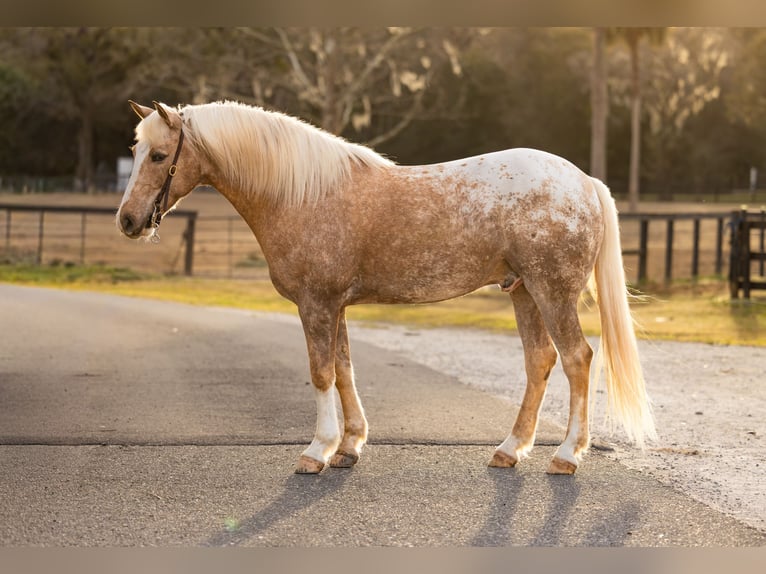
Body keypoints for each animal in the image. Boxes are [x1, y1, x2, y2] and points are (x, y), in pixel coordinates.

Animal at [116, 99, 656, 475]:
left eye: (160, 155)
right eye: (135, 152)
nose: (127, 221)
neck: (302, 194)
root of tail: (584, 182)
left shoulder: (316, 304)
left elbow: (320, 374)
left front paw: (317, 450)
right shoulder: (335, 306)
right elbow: (344, 370)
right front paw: (349, 446)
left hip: (552, 291)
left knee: (577, 359)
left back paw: (566, 456)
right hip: (523, 290)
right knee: (539, 361)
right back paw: (509, 450)